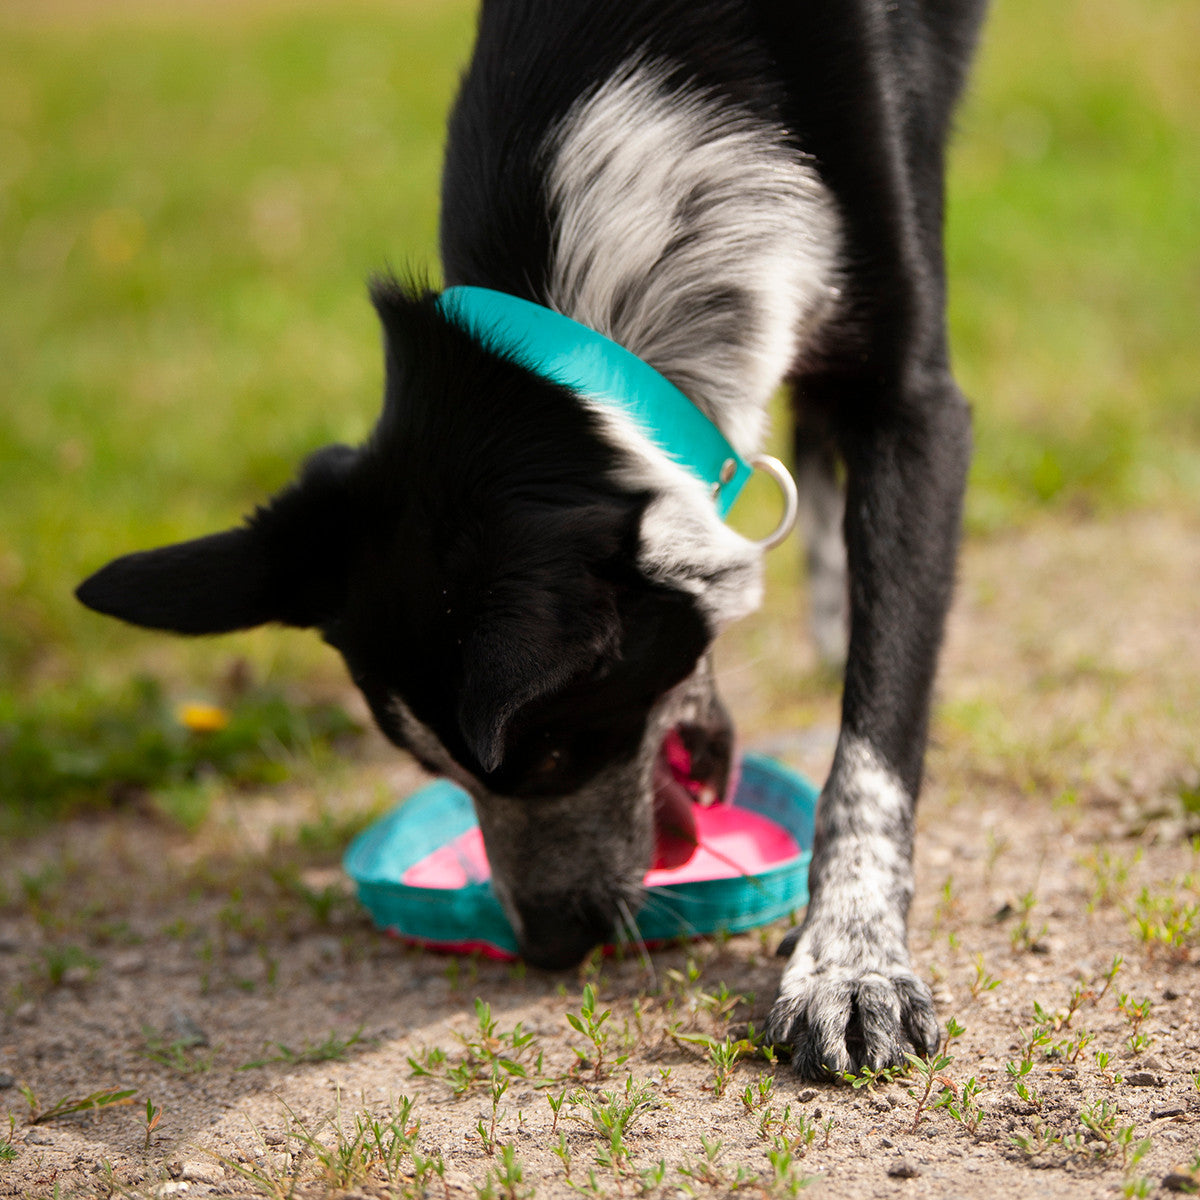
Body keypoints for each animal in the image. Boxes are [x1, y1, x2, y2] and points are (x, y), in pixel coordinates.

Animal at [79, 0, 988, 1080]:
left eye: (555, 753)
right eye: (433, 773)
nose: (552, 947)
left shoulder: (914, 403)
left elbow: (874, 747)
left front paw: (849, 966)